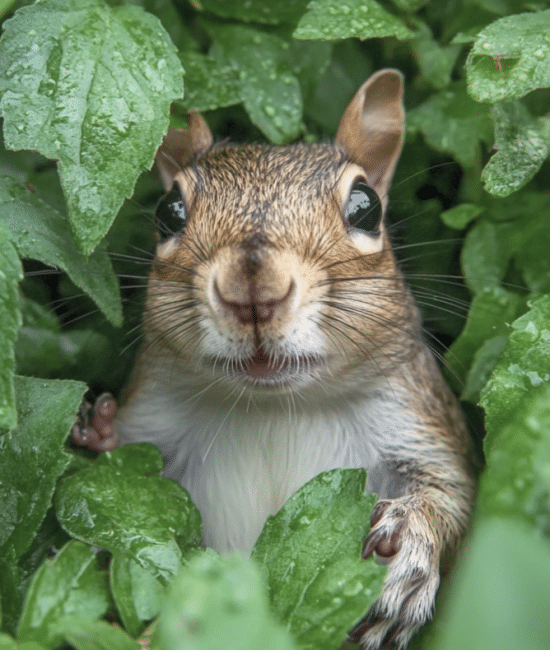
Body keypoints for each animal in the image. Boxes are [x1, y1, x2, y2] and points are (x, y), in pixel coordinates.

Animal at [72, 69, 476, 649]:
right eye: (169, 212)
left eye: (366, 207)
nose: (253, 291)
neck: (274, 408)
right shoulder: (153, 422)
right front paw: (99, 430)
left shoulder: (419, 420)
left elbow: (454, 498)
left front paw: (411, 550)